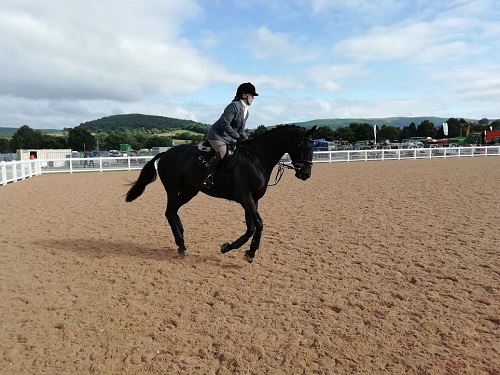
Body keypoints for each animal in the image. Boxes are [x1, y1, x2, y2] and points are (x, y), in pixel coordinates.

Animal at [125, 125, 316, 262]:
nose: (306, 174)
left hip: (189, 190)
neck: (256, 159)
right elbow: (258, 225)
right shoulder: (245, 198)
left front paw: (236, 249)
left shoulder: (253, 199)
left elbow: (251, 227)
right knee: (169, 212)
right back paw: (181, 245)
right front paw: (247, 252)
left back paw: (182, 238)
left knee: (174, 211)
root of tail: (166, 153)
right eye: (304, 145)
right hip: (173, 188)